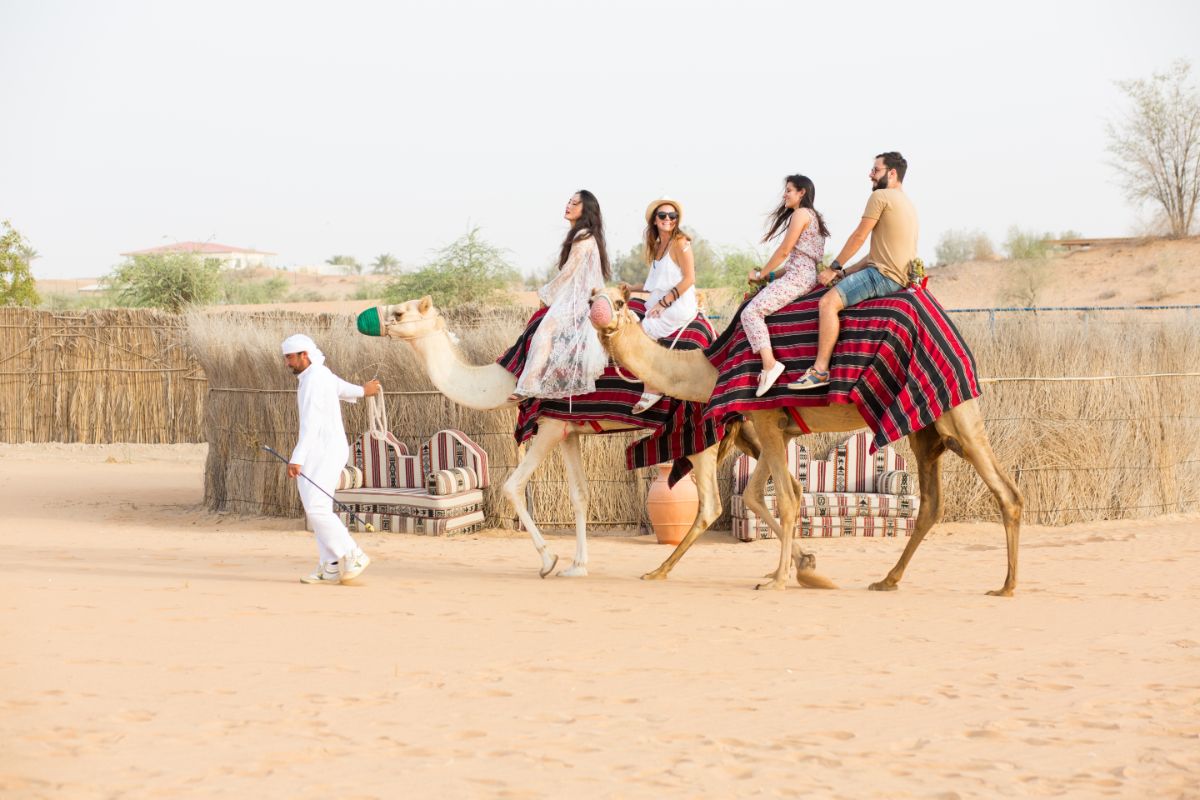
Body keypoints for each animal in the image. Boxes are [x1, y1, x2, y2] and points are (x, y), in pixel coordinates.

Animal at [588, 286, 1022, 594]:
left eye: (621, 300)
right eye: (593, 295)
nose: (598, 311)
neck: (711, 368)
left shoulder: (765, 418)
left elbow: (788, 497)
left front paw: (780, 579)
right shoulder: (773, 425)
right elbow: (761, 495)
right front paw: (801, 567)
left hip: (956, 413)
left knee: (1006, 491)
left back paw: (1006, 587)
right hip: (925, 429)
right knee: (932, 502)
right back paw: (887, 579)